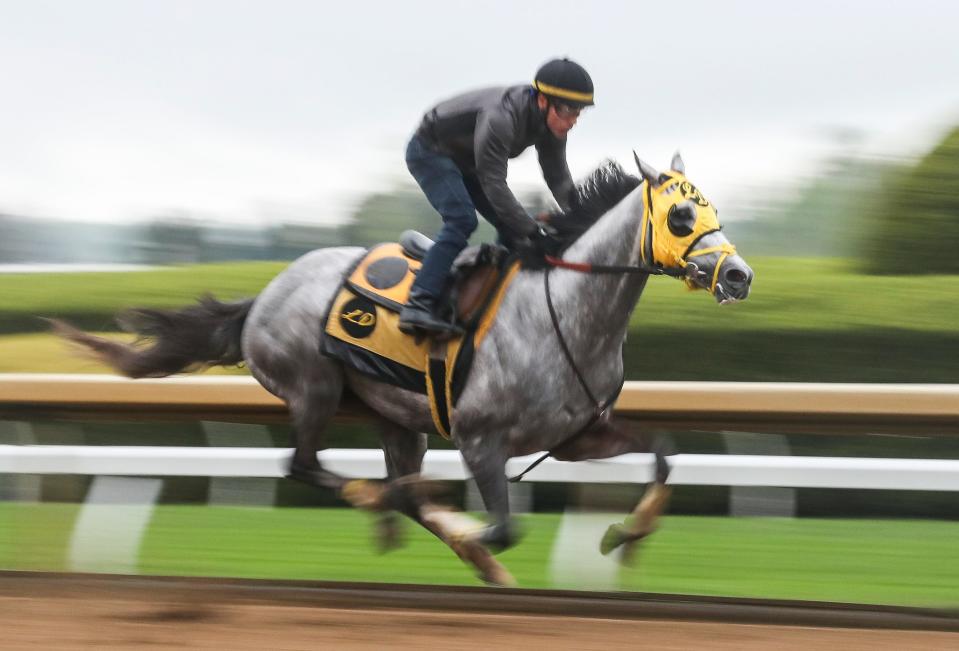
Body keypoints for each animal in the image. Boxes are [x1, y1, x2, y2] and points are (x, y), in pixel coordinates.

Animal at [56, 153, 752, 584]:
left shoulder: (577, 436)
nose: (739, 276)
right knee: (305, 466)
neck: (569, 310)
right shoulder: (480, 440)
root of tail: (265, 296)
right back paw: (386, 503)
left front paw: (622, 540)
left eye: (713, 209)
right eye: (681, 215)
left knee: (395, 483)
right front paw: (473, 536)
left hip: (396, 417)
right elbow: (503, 526)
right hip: (314, 388)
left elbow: (663, 455)